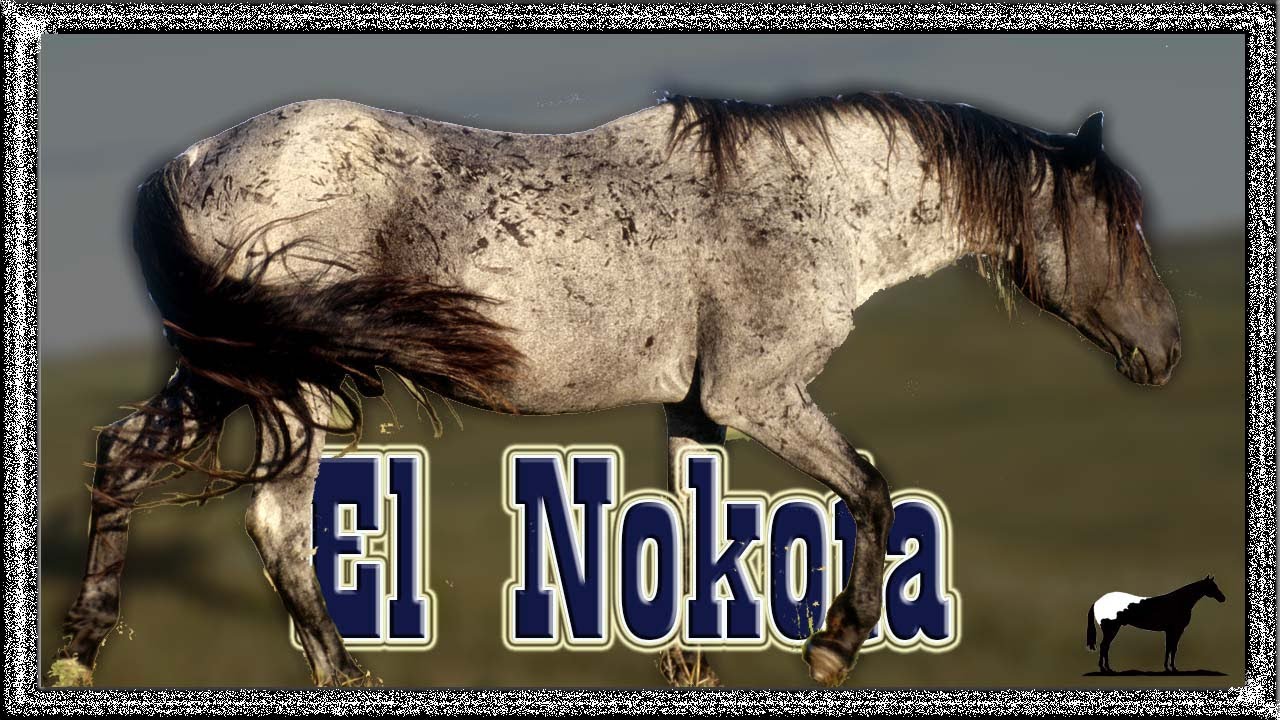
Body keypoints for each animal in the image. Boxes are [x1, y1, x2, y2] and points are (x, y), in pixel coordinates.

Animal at [52, 90, 1181, 688]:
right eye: (1118, 224)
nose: (1166, 350)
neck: (806, 206)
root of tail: (186, 165)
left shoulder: (697, 410)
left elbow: (697, 531)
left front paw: (693, 668)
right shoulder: (755, 395)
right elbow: (871, 491)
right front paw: (833, 645)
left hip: (228, 370)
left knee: (127, 455)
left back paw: (83, 652)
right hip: (292, 385)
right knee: (274, 522)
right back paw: (341, 671)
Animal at [1087, 575, 1226, 673]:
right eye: (1212, 586)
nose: (1223, 598)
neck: (1179, 602)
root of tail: (1098, 602)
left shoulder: (1170, 631)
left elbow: (1169, 648)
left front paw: (1168, 667)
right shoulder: (1176, 630)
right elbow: (1172, 648)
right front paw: (1172, 668)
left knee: (1105, 646)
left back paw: (1107, 668)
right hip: (1112, 629)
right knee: (1104, 646)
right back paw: (1104, 669)